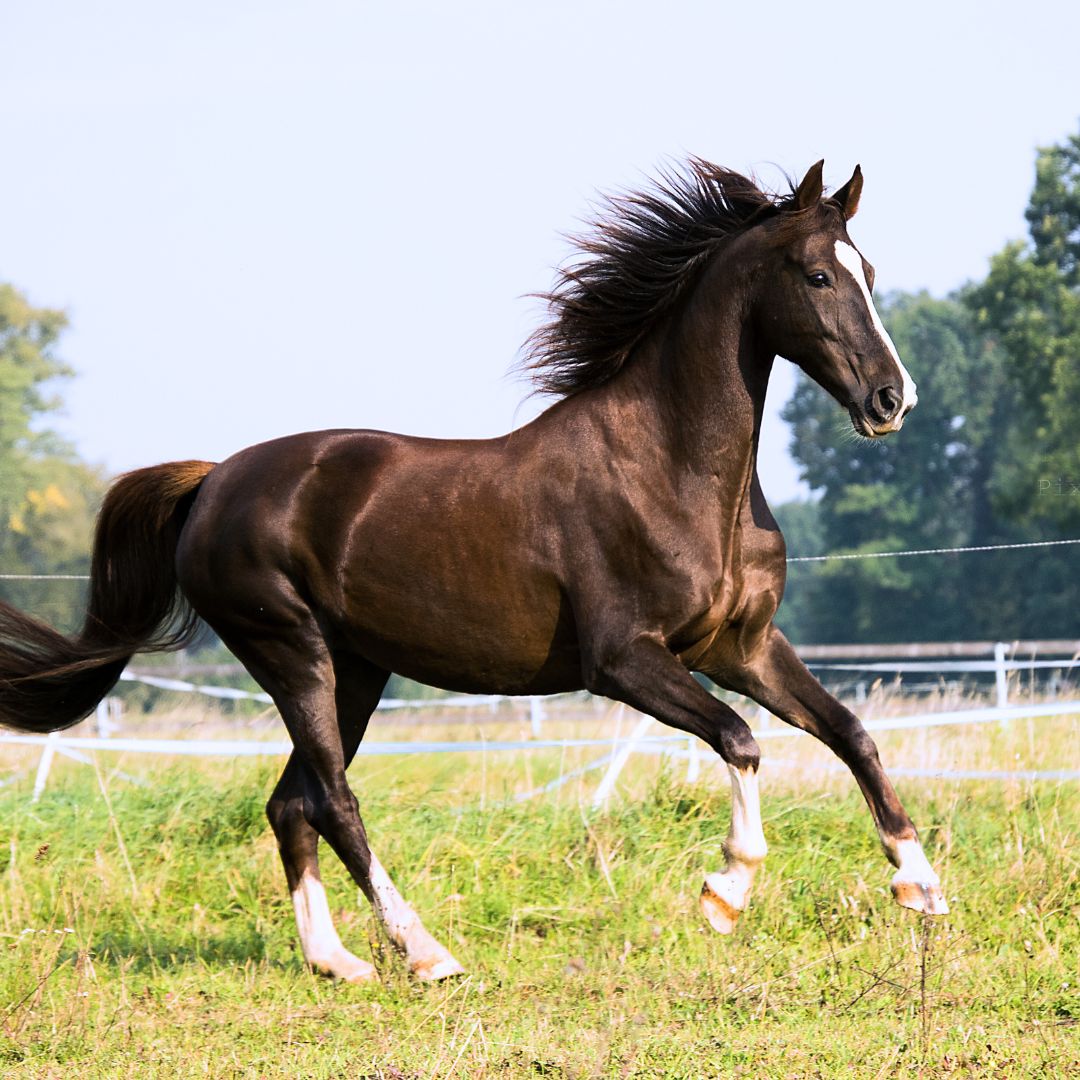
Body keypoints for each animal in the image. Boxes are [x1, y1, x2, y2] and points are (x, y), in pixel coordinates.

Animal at [0, 157, 946, 980]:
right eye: (819, 277)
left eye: (869, 269)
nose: (892, 401)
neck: (672, 469)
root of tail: (212, 482)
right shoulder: (624, 662)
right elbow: (742, 741)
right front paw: (726, 891)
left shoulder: (740, 647)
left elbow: (850, 732)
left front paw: (921, 886)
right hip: (291, 652)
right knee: (334, 800)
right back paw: (425, 954)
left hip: (354, 669)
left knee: (290, 803)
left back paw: (336, 962)